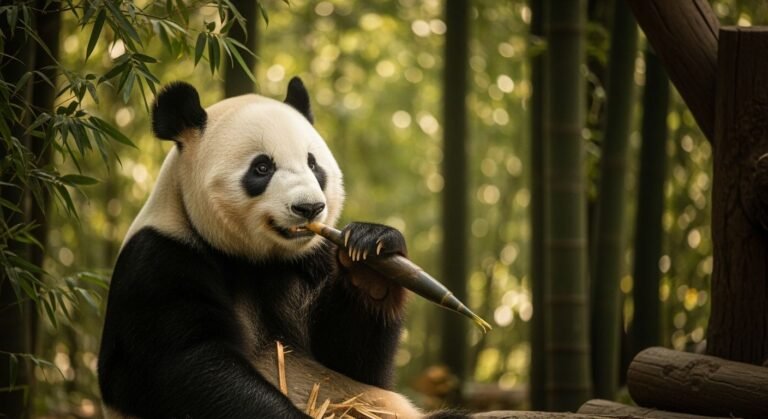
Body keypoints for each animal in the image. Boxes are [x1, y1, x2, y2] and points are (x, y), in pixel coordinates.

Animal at [97, 77, 463, 418]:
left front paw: (371, 259)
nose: (310, 208)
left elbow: (354, 363)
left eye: (313, 164)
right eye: (262, 167)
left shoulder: (314, 259)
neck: (256, 259)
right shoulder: (160, 260)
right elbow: (187, 363)